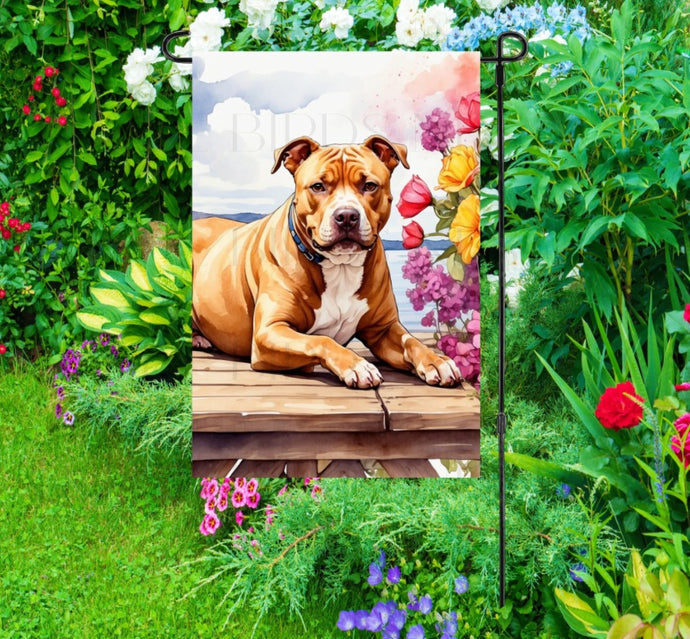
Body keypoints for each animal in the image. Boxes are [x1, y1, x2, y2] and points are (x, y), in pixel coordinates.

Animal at [191, 135, 460, 390]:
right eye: (318, 186)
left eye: (369, 185)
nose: (347, 216)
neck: (340, 266)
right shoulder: (269, 331)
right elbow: (320, 339)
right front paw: (356, 365)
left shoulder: (383, 328)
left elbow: (410, 341)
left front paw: (437, 360)